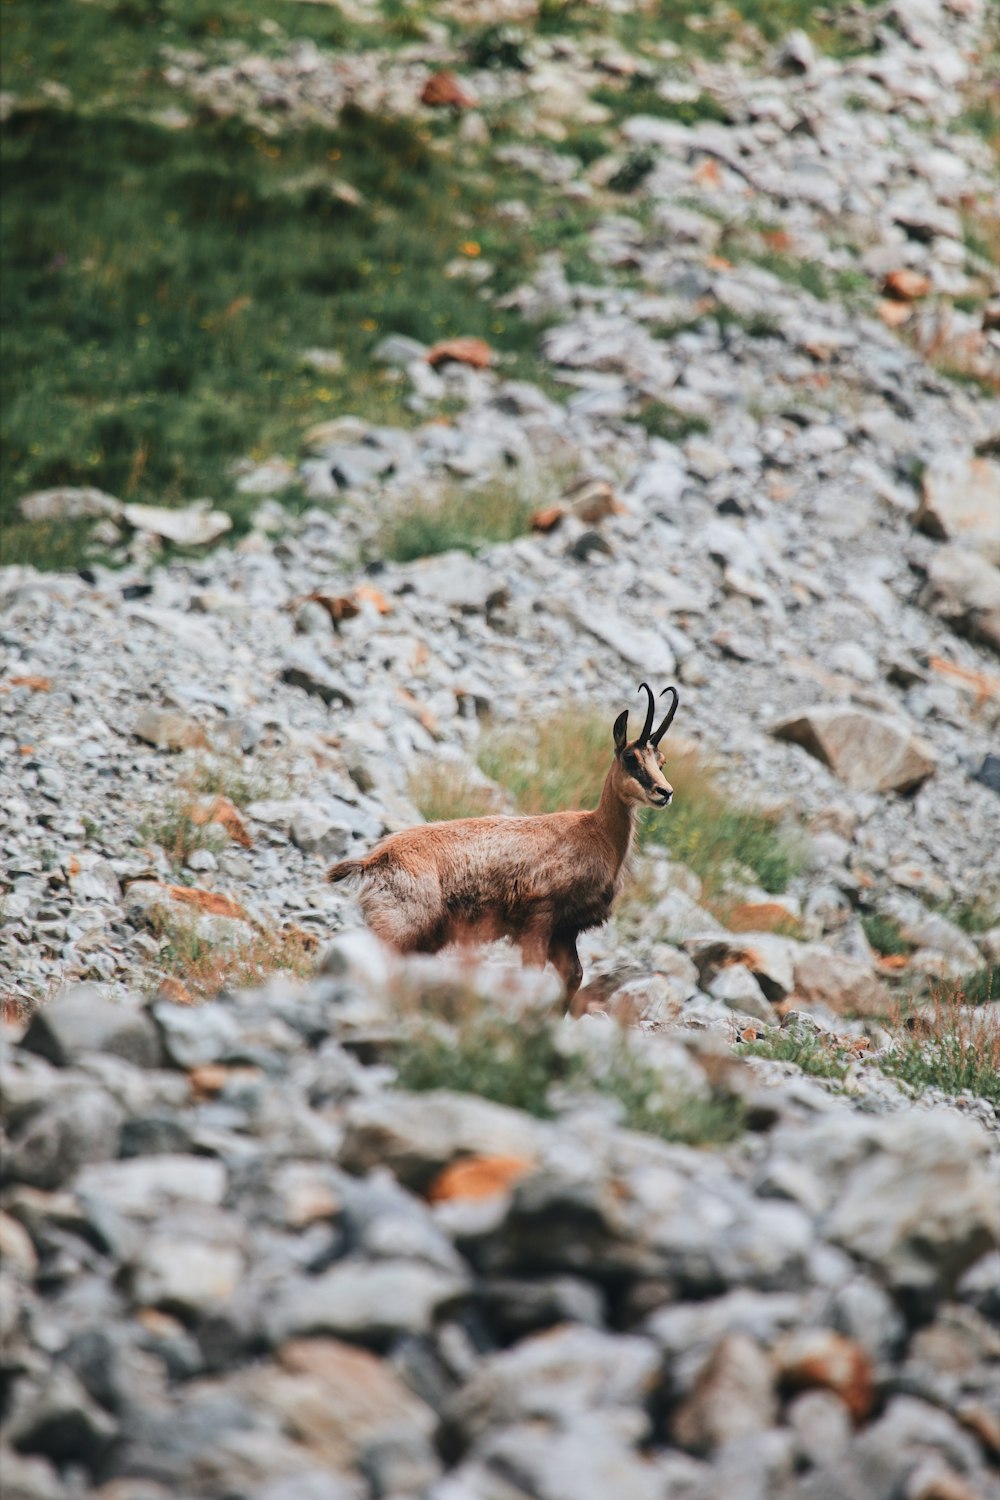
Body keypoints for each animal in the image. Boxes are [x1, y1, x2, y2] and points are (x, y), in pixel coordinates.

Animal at [328, 684, 680, 1014]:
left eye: (662, 761)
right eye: (631, 758)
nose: (665, 792)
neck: (596, 834)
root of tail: (373, 860)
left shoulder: (565, 931)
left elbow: (574, 976)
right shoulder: (539, 918)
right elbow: (534, 973)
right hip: (399, 926)